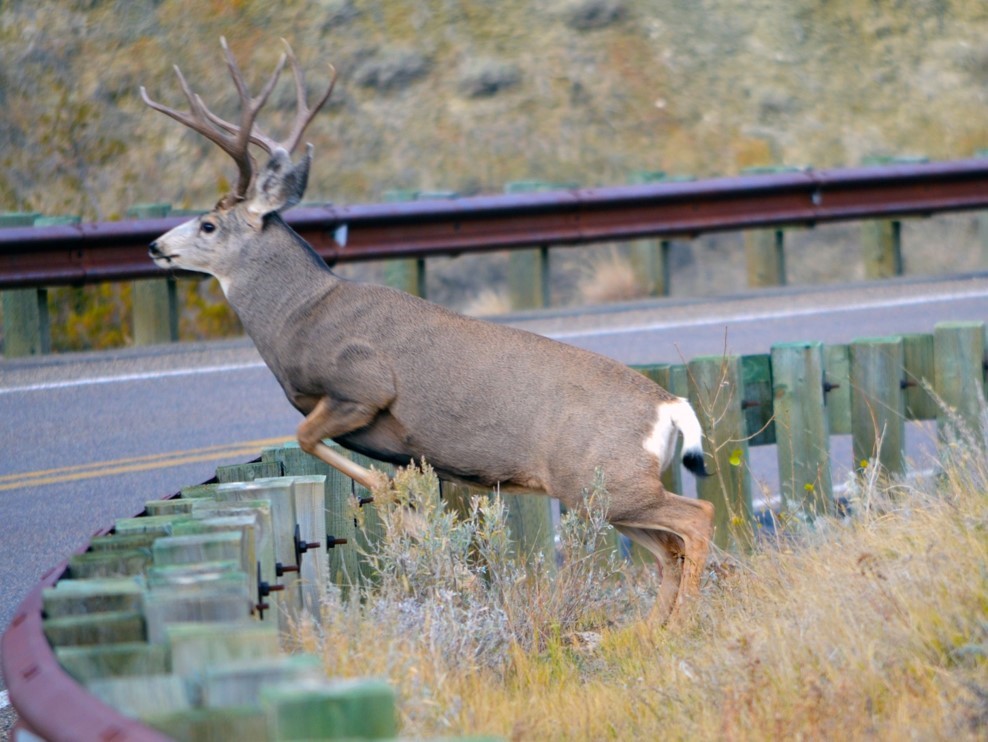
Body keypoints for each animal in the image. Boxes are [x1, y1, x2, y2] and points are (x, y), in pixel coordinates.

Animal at [141, 39, 715, 624]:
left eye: (209, 225)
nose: (155, 246)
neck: (299, 315)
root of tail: (670, 406)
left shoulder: (361, 388)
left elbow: (325, 448)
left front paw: (445, 562)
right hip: (601, 493)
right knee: (668, 548)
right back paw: (650, 630)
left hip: (605, 481)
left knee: (699, 515)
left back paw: (681, 621)